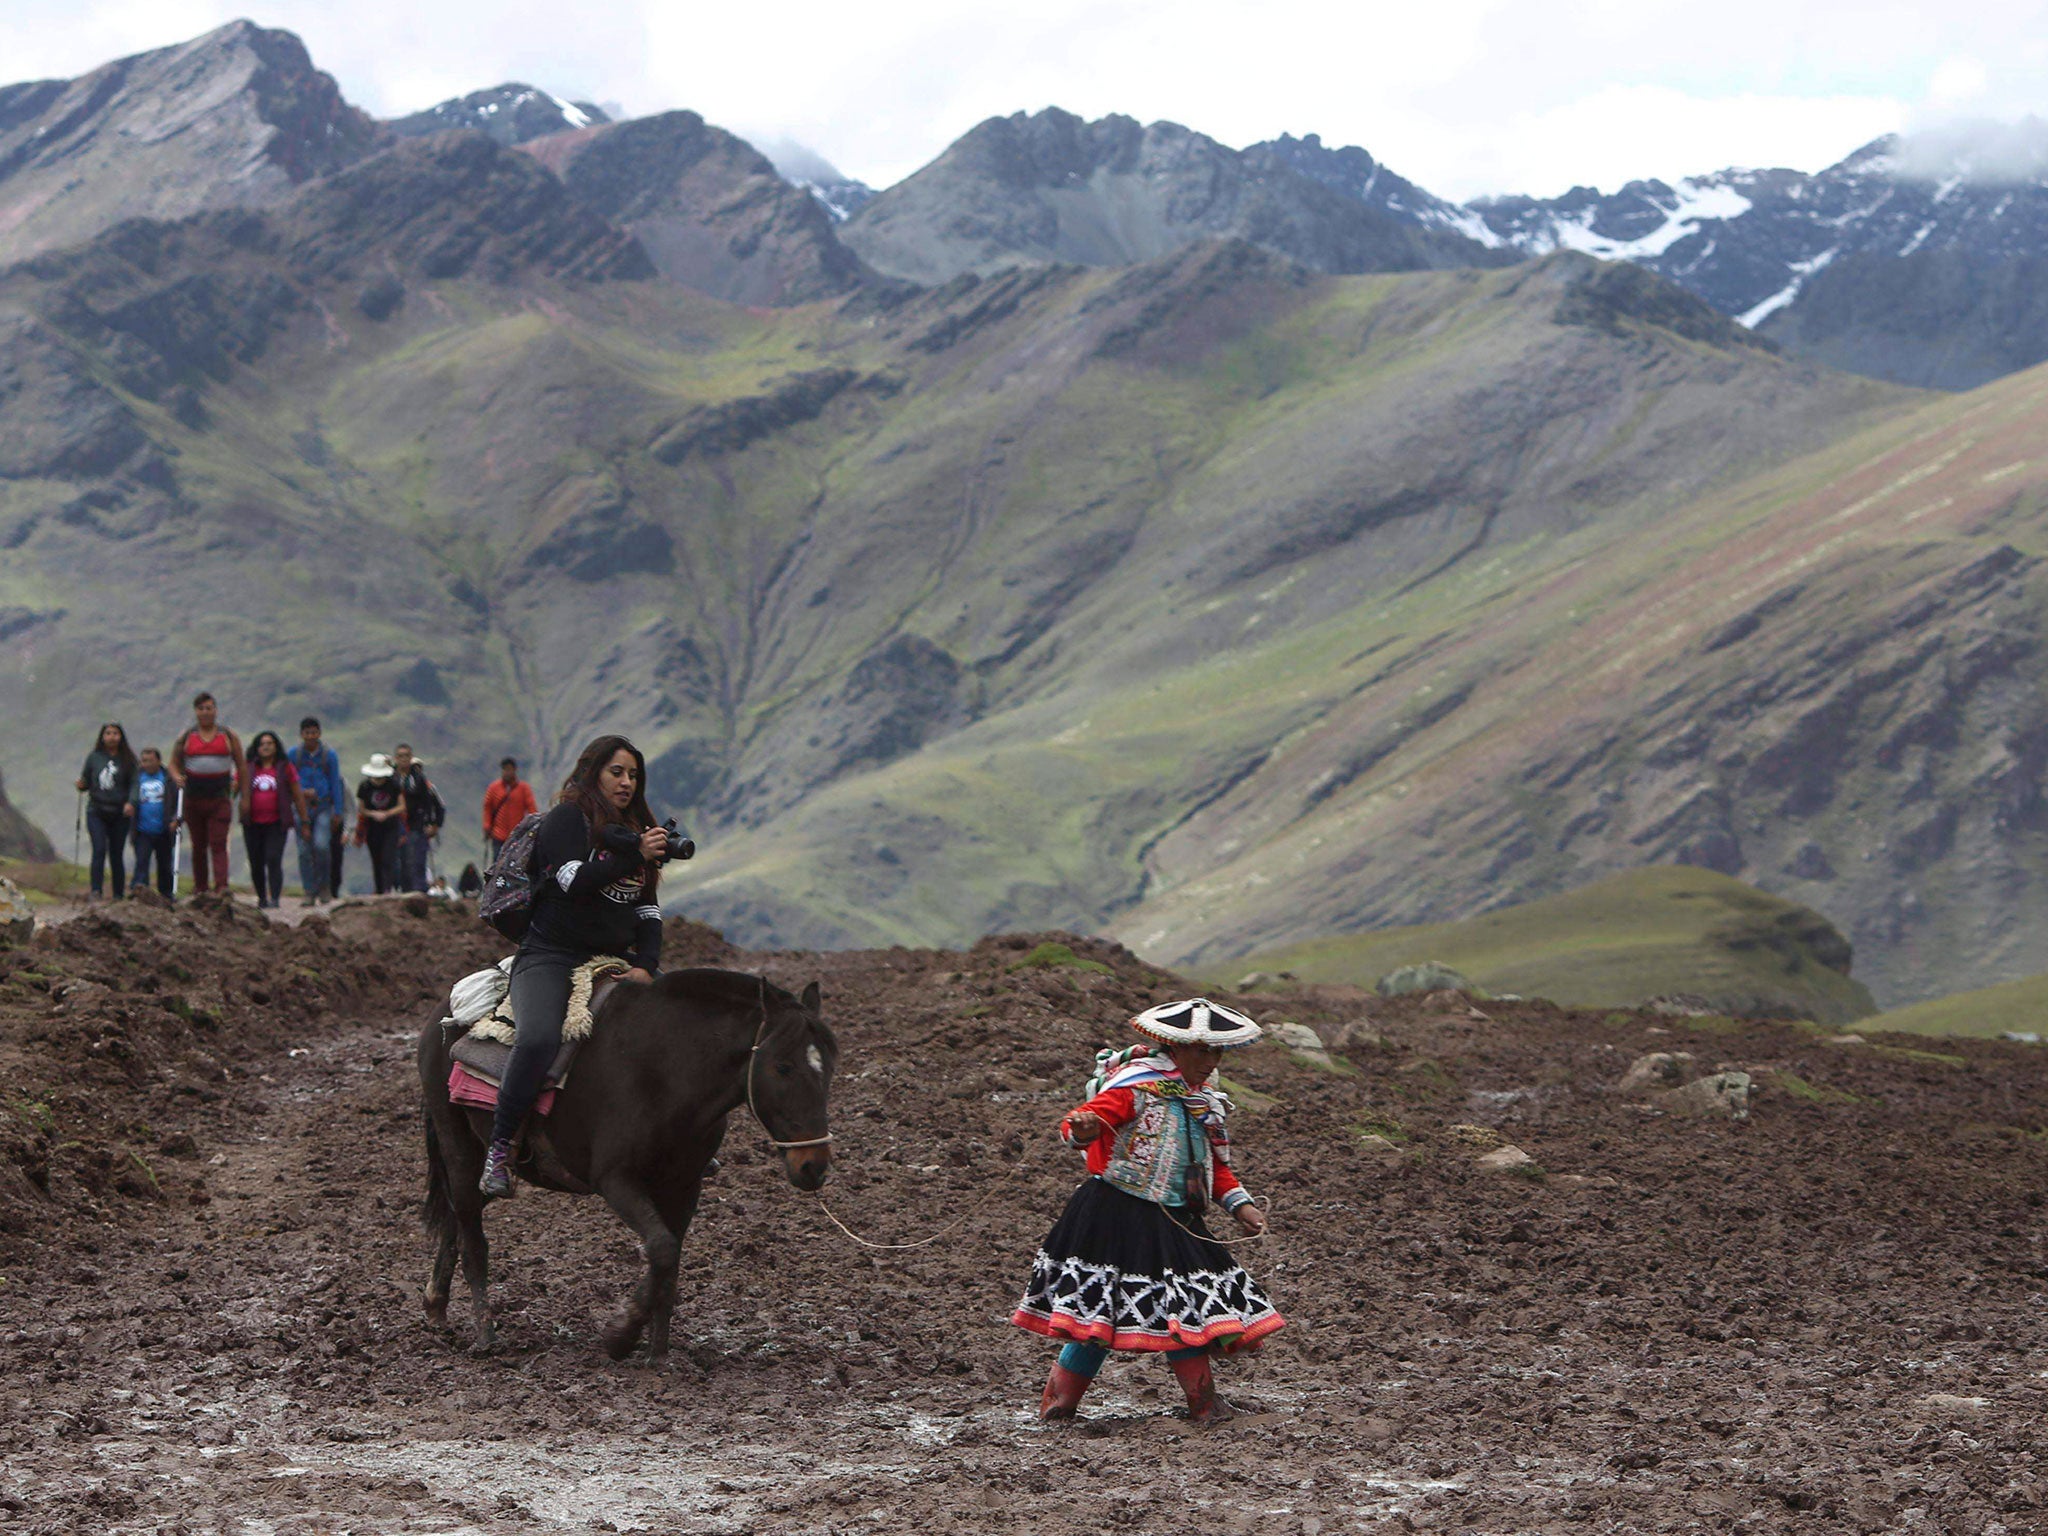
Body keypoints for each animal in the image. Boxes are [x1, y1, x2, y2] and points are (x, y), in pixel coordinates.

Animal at [419, 966, 835, 1368]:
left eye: (829, 1068)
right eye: (782, 1067)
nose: (812, 1166)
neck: (664, 1073)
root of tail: (441, 1013)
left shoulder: (684, 1185)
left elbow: (669, 1258)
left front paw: (658, 1353)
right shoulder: (616, 1180)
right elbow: (662, 1248)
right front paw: (621, 1335)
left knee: (457, 1219)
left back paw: (436, 1306)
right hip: (460, 1148)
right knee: (473, 1237)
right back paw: (486, 1337)